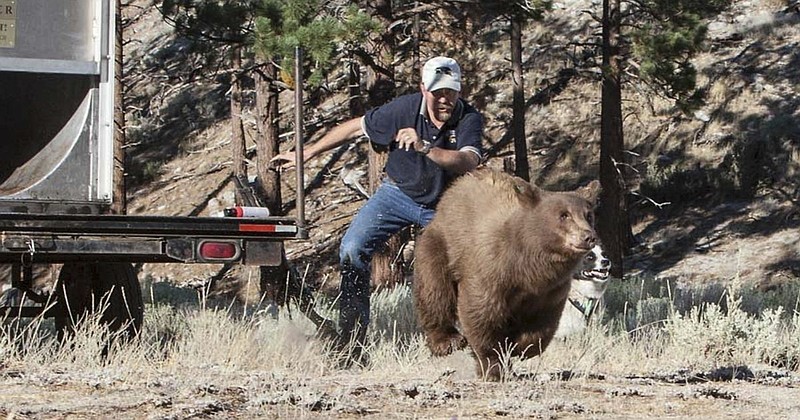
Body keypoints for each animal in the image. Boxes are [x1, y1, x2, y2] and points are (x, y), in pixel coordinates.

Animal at [416, 168, 596, 380]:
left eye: (589, 215)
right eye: (563, 215)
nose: (588, 236)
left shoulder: (550, 290)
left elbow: (542, 324)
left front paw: (517, 346)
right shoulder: (492, 270)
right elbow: (481, 313)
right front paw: (494, 367)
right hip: (439, 247)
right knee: (435, 291)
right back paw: (447, 341)